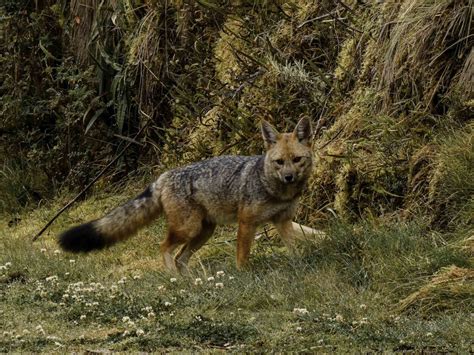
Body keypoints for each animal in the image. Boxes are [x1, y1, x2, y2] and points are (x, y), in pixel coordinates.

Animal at [60, 118, 314, 274]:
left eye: (297, 160)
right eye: (279, 162)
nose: (289, 177)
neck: (275, 190)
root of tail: (163, 176)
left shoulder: (282, 221)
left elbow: (294, 249)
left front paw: (299, 266)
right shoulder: (247, 222)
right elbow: (242, 256)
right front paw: (244, 275)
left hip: (203, 232)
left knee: (180, 257)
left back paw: (193, 282)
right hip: (189, 229)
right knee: (164, 247)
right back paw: (174, 278)